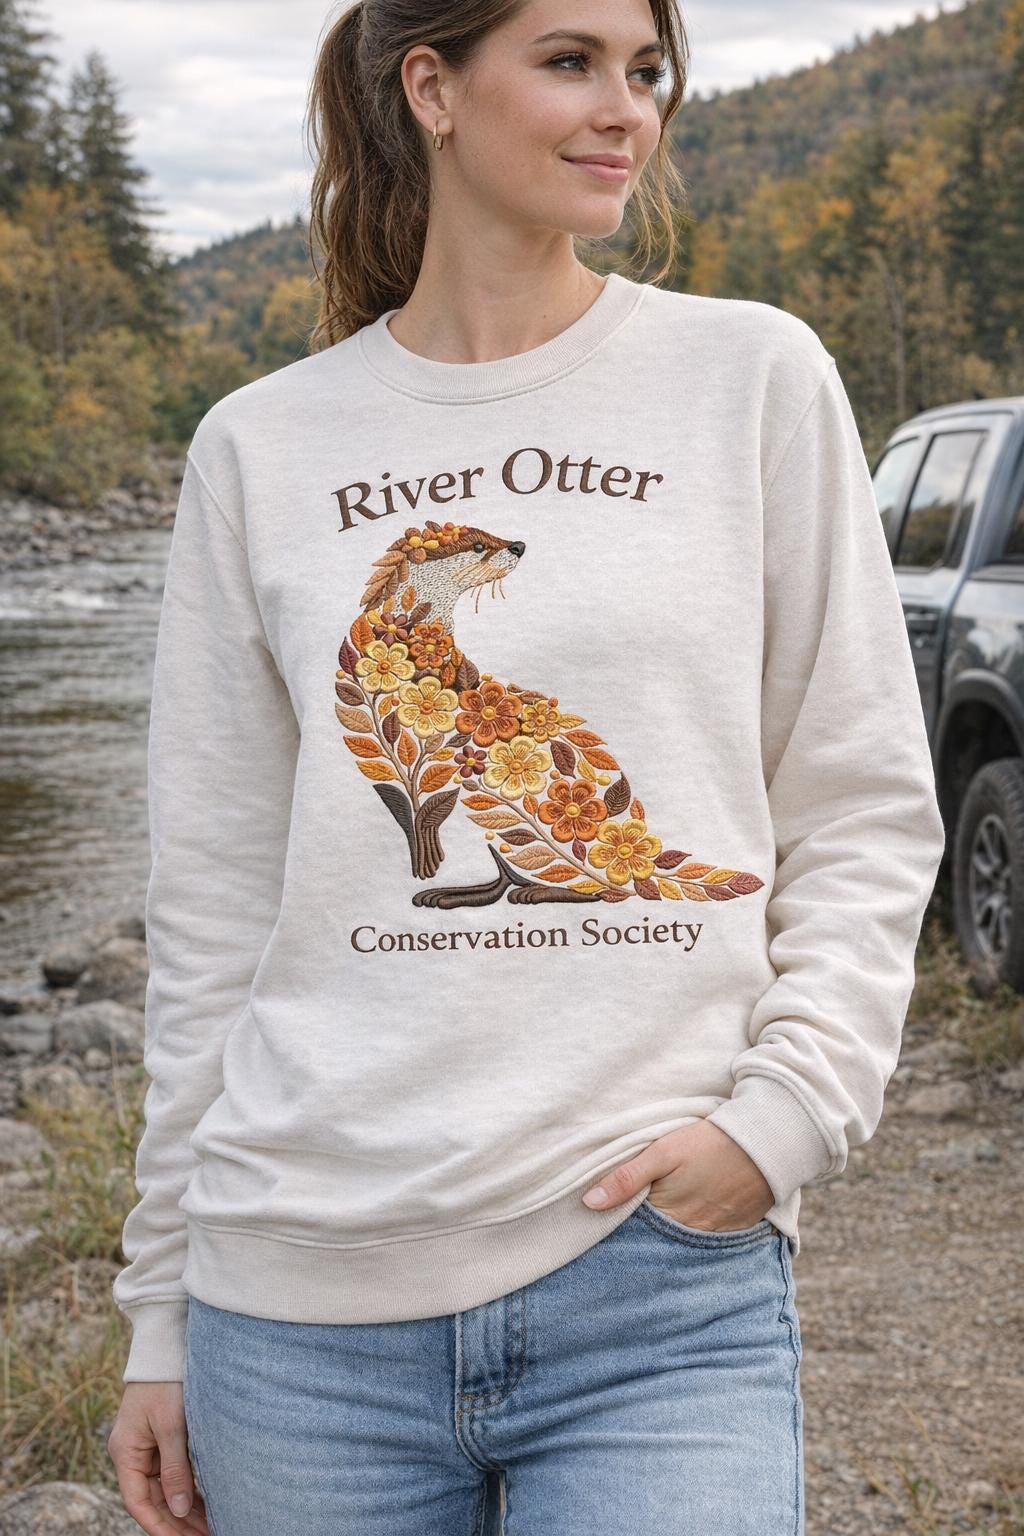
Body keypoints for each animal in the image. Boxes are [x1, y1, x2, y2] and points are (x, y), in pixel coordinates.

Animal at [333, 518, 766, 911]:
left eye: (490, 537)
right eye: (478, 546)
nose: (519, 545)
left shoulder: (433, 765)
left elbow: (426, 820)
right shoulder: (403, 767)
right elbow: (415, 820)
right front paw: (428, 869)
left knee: (597, 889)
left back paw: (525, 892)